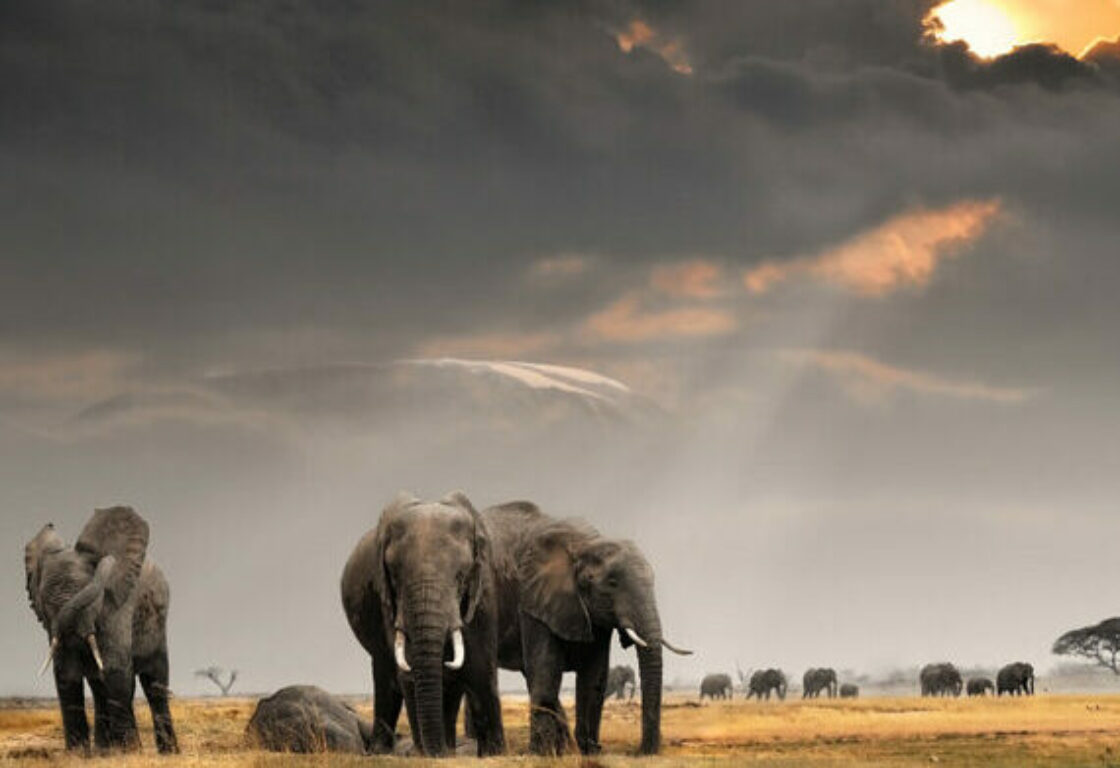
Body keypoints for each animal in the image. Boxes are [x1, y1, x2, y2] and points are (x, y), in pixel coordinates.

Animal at [24, 506, 178, 754]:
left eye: (92, 600)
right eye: (46, 603)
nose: (105, 559)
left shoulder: (117, 606)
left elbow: (115, 669)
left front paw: (130, 753)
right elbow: (66, 672)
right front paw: (78, 756)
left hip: (158, 620)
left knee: (154, 683)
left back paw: (167, 753)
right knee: (100, 687)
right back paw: (105, 752)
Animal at [340, 491, 504, 757]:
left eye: (460, 576)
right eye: (395, 575)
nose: (437, 752)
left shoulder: (483, 591)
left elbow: (480, 665)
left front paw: (494, 754)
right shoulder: (388, 600)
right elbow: (408, 669)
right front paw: (426, 754)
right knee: (384, 674)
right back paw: (380, 752)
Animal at [482, 501, 691, 756]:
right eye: (612, 583)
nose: (640, 751)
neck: (585, 543)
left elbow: (594, 678)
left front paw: (590, 752)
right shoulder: (532, 599)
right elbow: (546, 671)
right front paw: (541, 755)